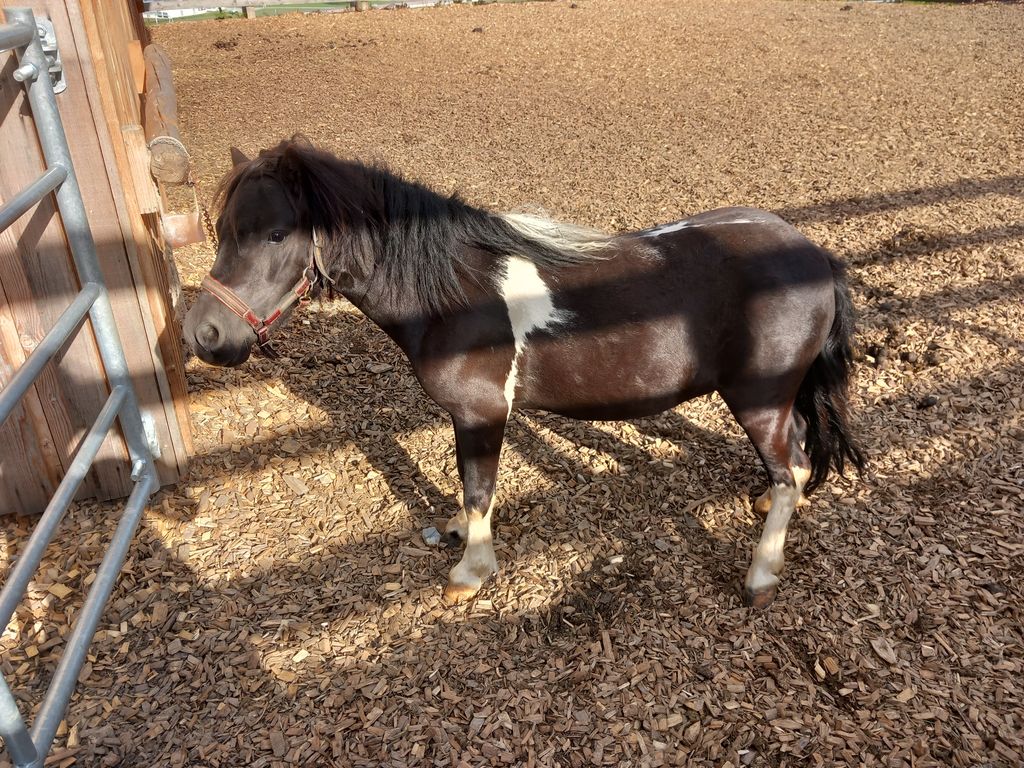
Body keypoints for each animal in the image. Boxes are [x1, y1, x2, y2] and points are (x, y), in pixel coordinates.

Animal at [186, 138, 864, 606]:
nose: (204, 335)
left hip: (759, 398)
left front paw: (470, 571)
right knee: (797, 460)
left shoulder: (482, 413)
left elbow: (478, 487)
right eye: (222, 231)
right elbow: (466, 486)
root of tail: (814, 253)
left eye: (277, 235)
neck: (454, 293)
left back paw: (761, 575)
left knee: (790, 469)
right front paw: (458, 533)